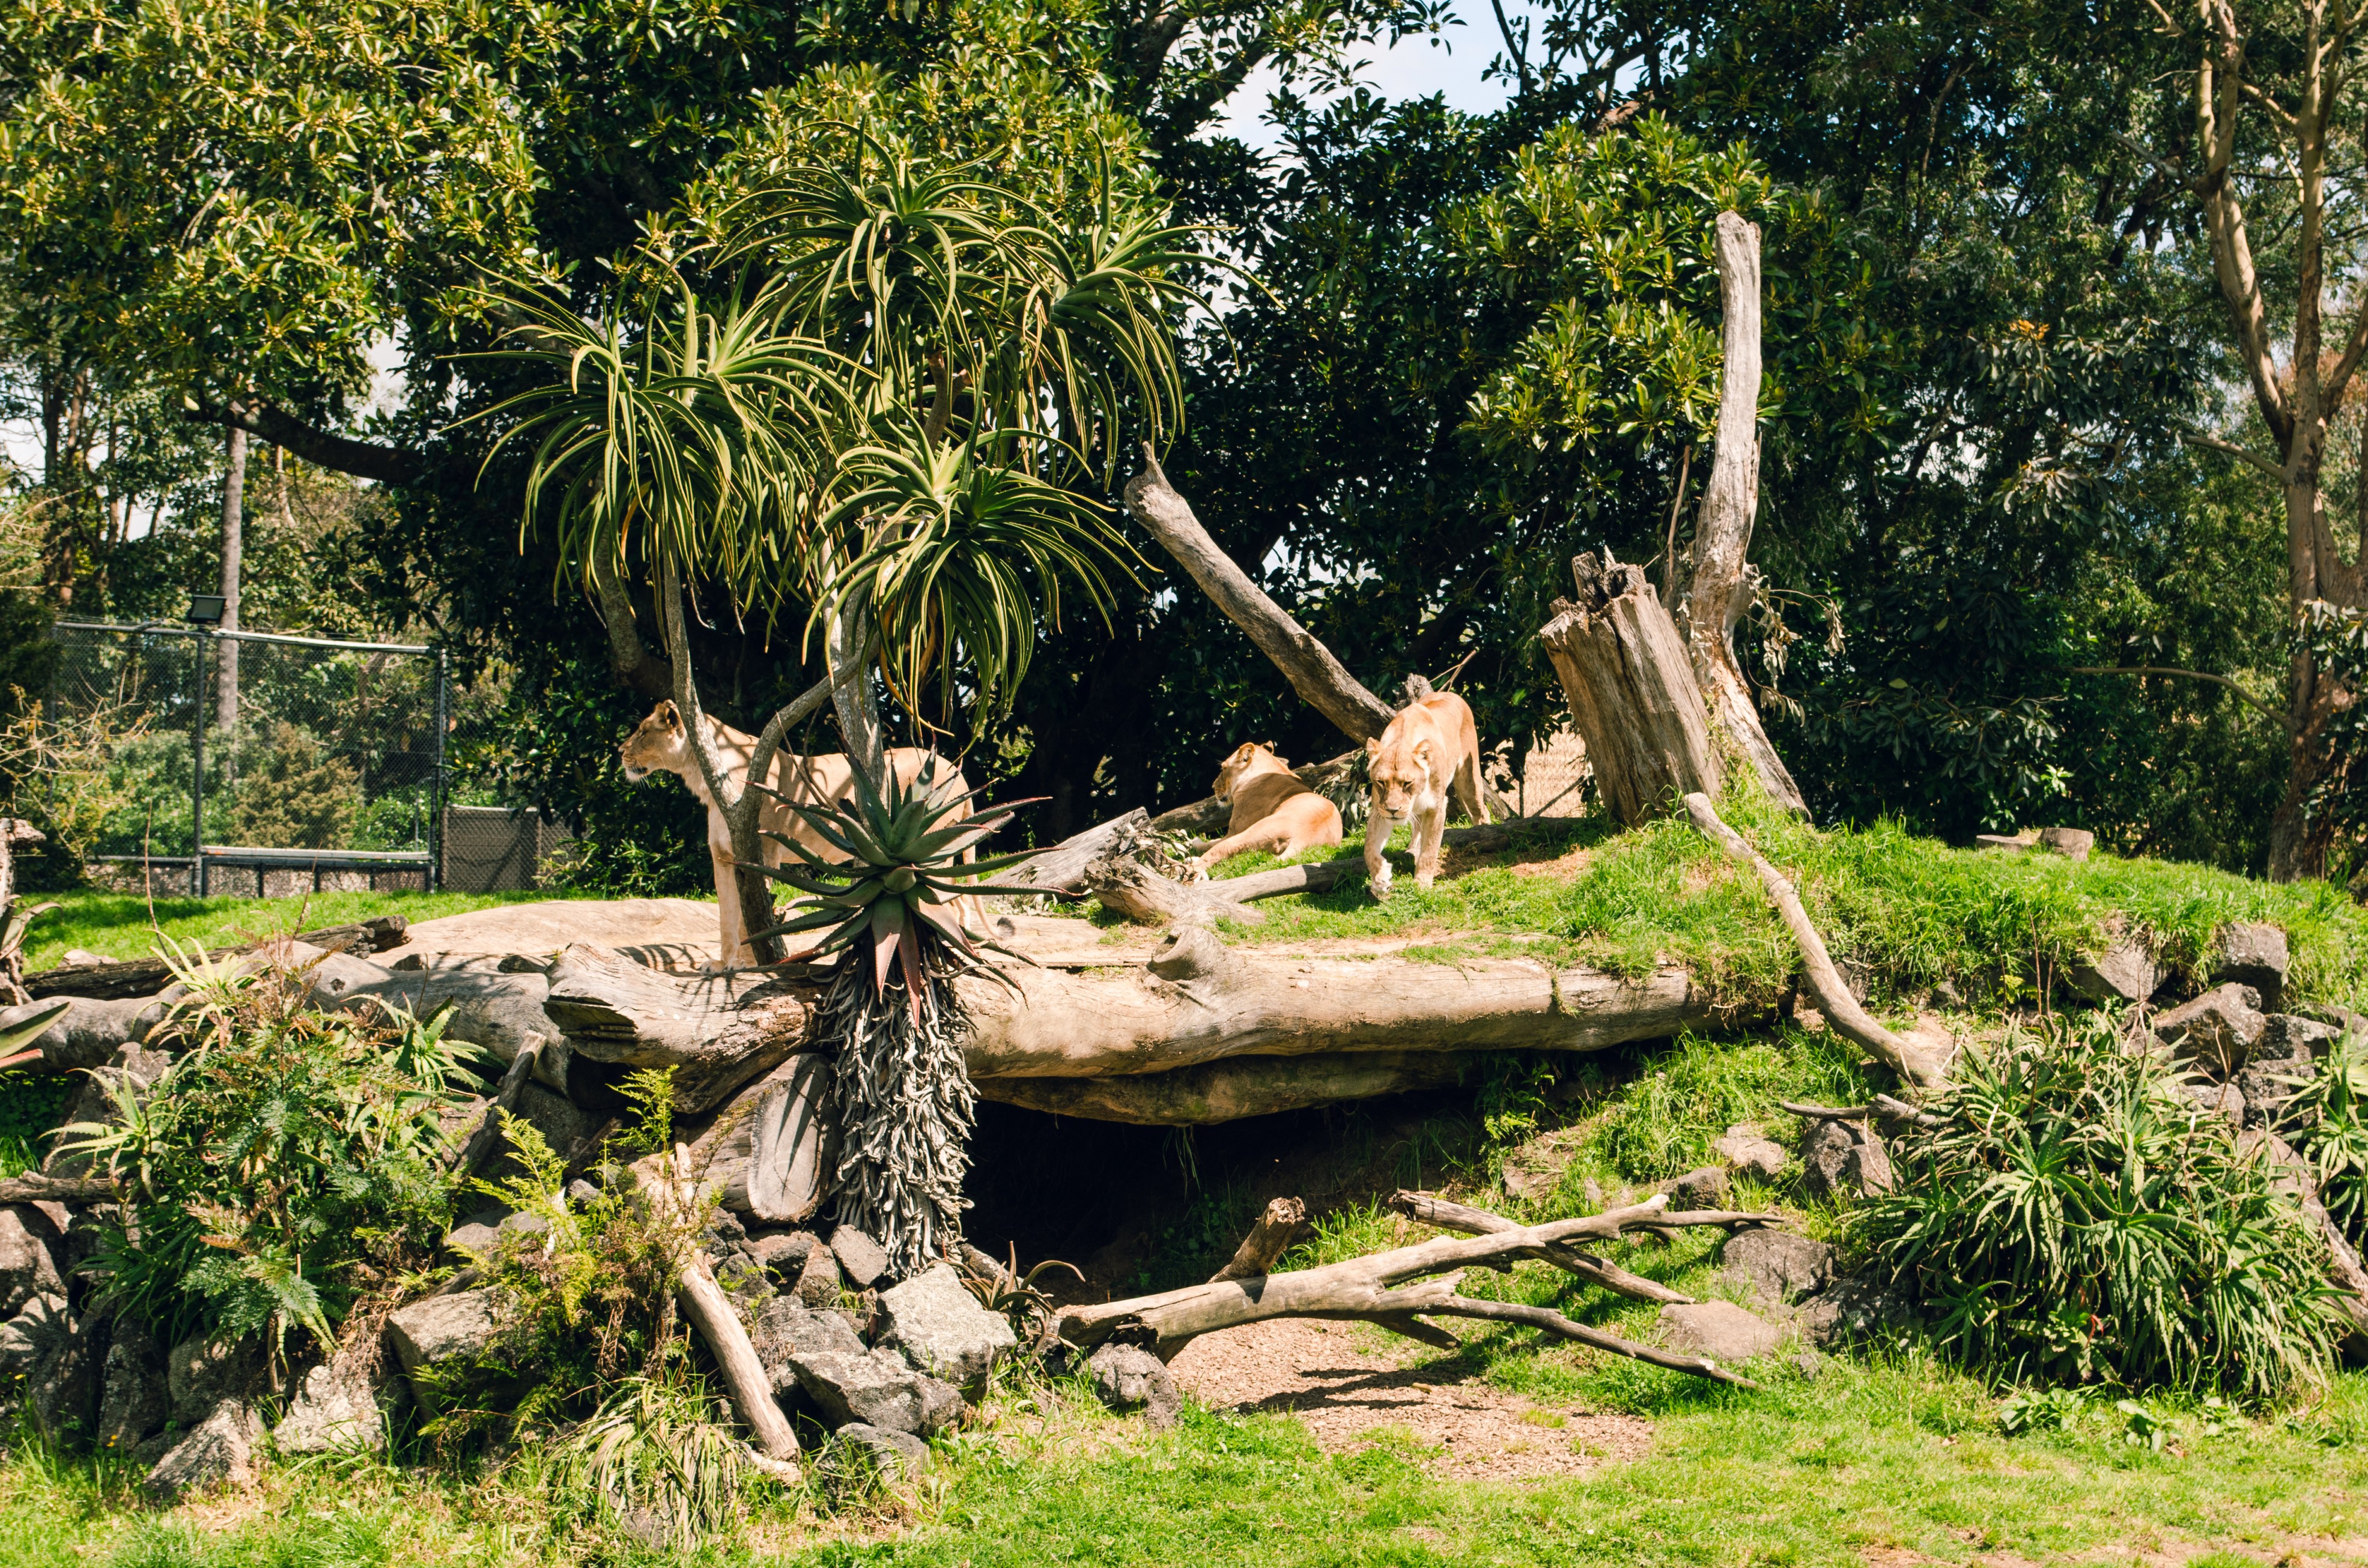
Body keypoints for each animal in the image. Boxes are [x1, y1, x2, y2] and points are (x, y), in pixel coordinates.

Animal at [619, 700, 978, 968]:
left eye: (643, 731)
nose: (620, 751)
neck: (708, 780)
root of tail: (956, 770)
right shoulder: (722, 857)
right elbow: (726, 916)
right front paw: (721, 965)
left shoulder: (760, 850)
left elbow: (750, 917)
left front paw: (746, 963)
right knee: (958, 901)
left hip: (930, 852)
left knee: (948, 900)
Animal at [1192, 742, 1343, 875]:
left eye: (1223, 769)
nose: (1213, 787)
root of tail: (1305, 837)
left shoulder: (1235, 830)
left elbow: (1210, 844)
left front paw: (1195, 842)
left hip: (1251, 833)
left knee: (1218, 851)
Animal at [1362, 685, 1488, 900]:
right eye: (1381, 782)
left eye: (1407, 783)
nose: (1394, 811)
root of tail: (1451, 693)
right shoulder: (1380, 810)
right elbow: (1369, 848)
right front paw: (1380, 880)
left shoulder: (1436, 807)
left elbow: (1430, 849)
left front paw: (1422, 884)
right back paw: (1412, 848)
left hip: (1468, 780)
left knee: (1481, 809)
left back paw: (1486, 832)